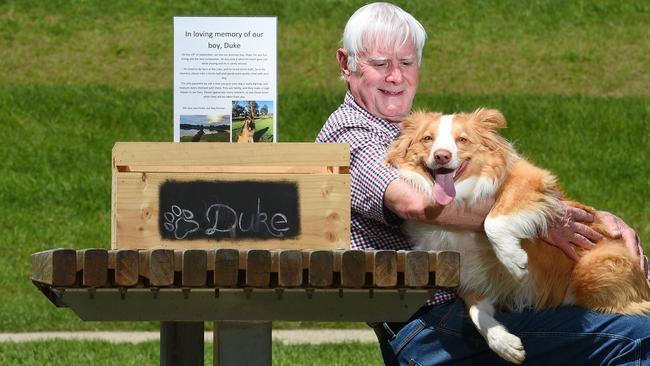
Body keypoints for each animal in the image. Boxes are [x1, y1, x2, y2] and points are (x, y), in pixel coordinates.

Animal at [384, 108, 648, 364]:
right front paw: (504, 344)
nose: (442, 156)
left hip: (590, 269)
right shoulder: (469, 273)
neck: (458, 197)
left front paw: (514, 260)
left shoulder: (529, 178)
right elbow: (476, 312)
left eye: (462, 140)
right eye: (428, 138)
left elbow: (493, 220)